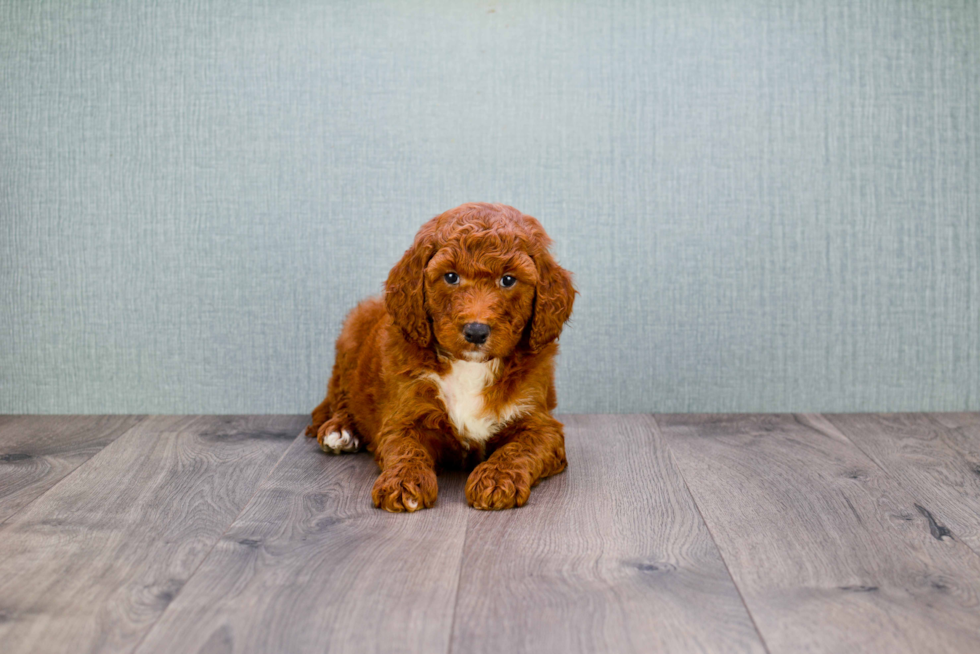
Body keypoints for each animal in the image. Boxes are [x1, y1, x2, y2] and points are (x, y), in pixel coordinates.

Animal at [306, 204, 576, 512]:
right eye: (451, 277)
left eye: (508, 279)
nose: (476, 331)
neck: (470, 367)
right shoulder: (404, 415)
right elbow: (406, 448)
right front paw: (404, 483)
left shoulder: (541, 423)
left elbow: (519, 448)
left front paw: (495, 480)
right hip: (351, 336)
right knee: (338, 398)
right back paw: (340, 430)